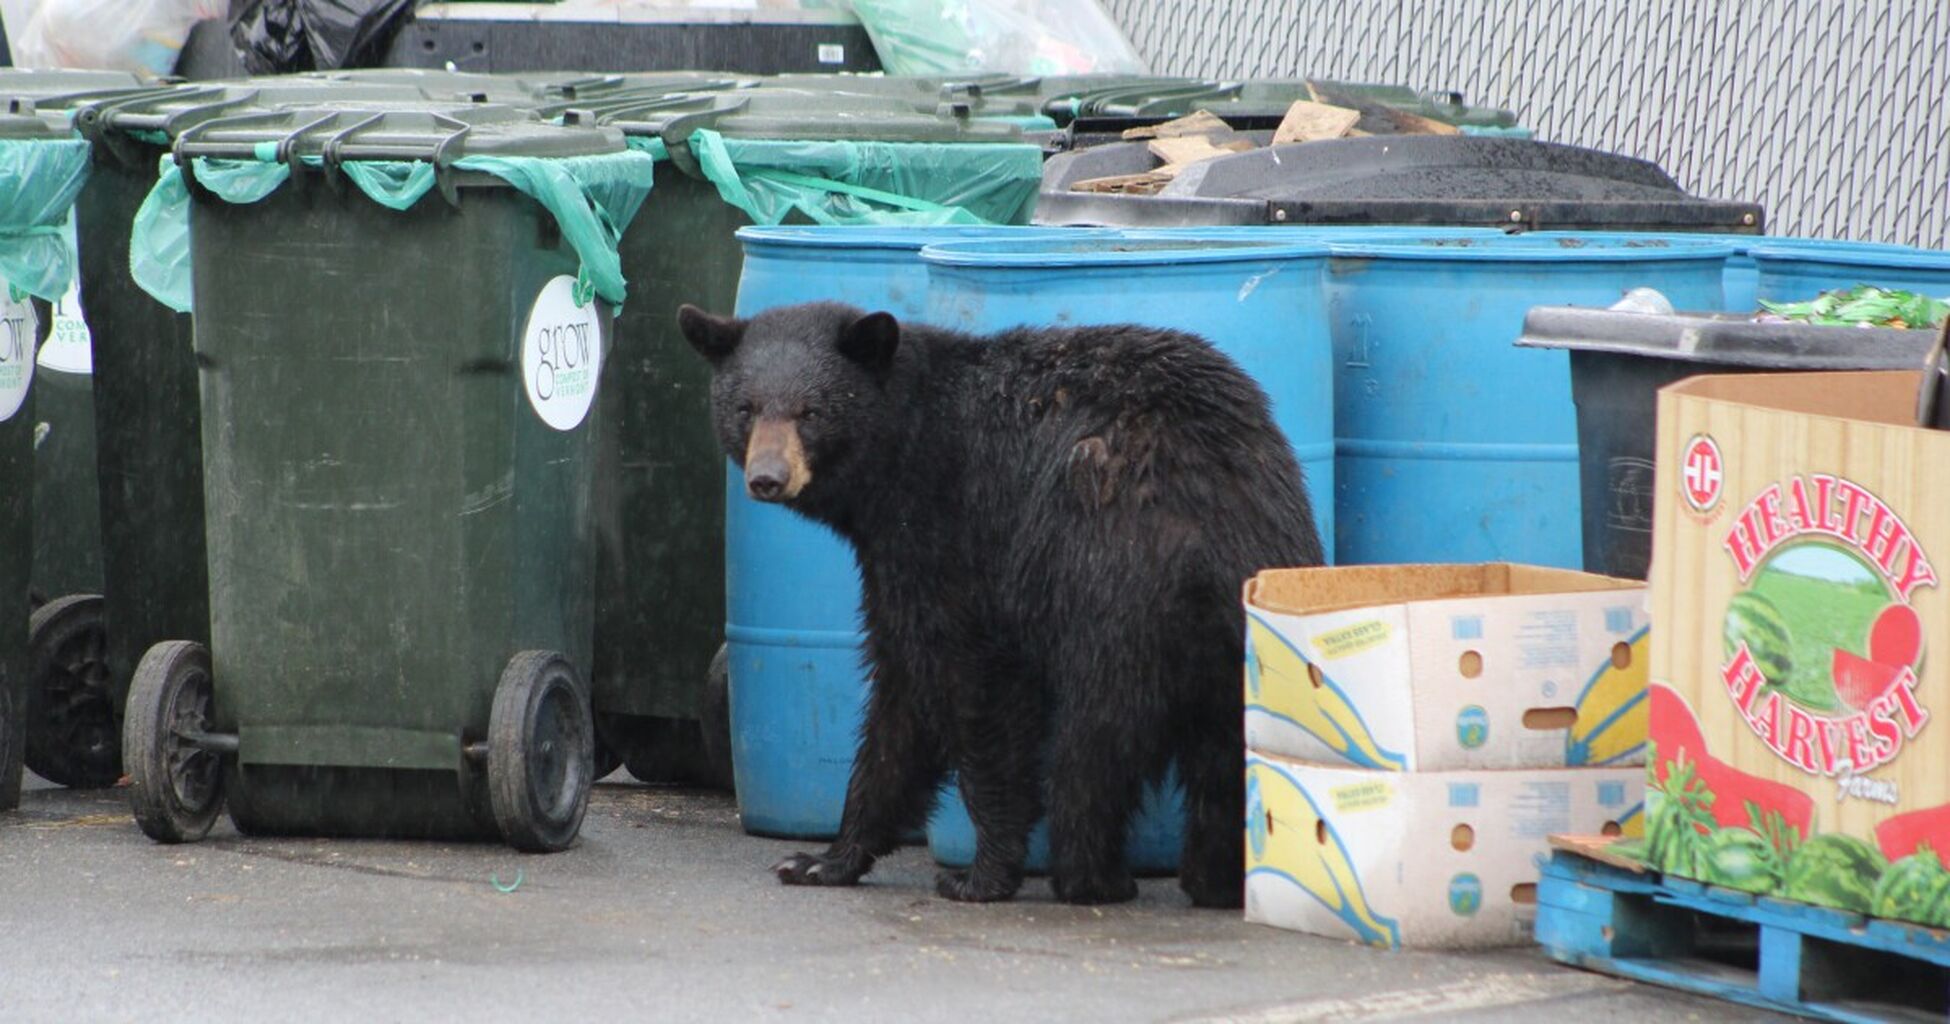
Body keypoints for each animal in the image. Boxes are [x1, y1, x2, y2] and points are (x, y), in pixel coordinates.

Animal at [678, 300, 1323, 907]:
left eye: (811, 412)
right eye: (746, 408)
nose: (767, 477)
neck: (905, 442)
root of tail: (1209, 527)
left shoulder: (949, 535)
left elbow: (957, 682)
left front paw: (979, 873)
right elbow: (904, 697)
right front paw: (824, 861)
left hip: (1109, 586)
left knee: (1092, 745)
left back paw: (1093, 876)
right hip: (1252, 631)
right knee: (1225, 752)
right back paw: (1213, 880)